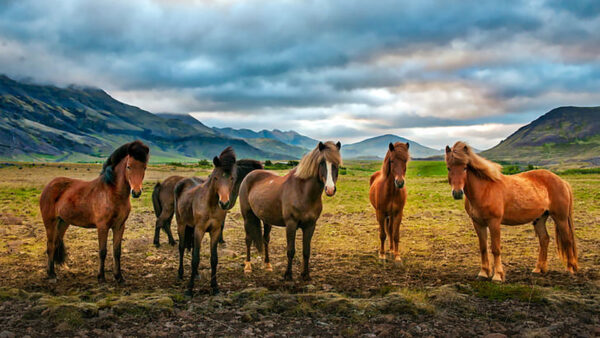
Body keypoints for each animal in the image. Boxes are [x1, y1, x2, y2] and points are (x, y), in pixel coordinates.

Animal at [39, 140, 150, 282]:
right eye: (129, 167)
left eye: (144, 167)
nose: (136, 192)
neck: (112, 193)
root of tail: (49, 185)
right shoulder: (102, 226)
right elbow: (102, 251)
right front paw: (101, 277)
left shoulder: (119, 226)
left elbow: (117, 251)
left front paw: (118, 277)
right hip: (50, 223)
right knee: (51, 245)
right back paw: (51, 274)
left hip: (63, 222)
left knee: (56, 243)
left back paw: (52, 272)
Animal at [173, 147, 237, 294]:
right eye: (215, 177)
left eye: (232, 178)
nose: (224, 203)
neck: (211, 204)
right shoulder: (199, 230)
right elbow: (195, 258)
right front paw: (189, 289)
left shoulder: (215, 231)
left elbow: (214, 259)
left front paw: (215, 287)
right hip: (181, 224)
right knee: (181, 247)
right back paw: (180, 273)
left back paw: (196, 274)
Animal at [239, 141, 342, 282]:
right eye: (321, 163)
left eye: (337, 164)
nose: (330, 189)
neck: (303, 192)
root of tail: (249, 176)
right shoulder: (291, 224)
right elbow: (291, 250)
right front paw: (288, 275)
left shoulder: (310, 225)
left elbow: (306, 251)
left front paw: (305, 275)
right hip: (247, 216)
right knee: (248, 239)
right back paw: (248, 267)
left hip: (266, 219)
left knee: (265, 239)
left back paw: (267, 265)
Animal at [446, 141, 576, 282]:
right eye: (448, 168)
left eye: (465, 167)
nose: (457, 193)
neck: (485, 190)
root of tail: (562, 181)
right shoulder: (478, 223)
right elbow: (483, 248)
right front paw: (483, 273)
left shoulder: (494, 222)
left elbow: (495, 249)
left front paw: (498, 275)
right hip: (540, 219)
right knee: (544, 239)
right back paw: (538, 269)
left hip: (560, 218)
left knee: (567, 239)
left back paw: (570, 269)